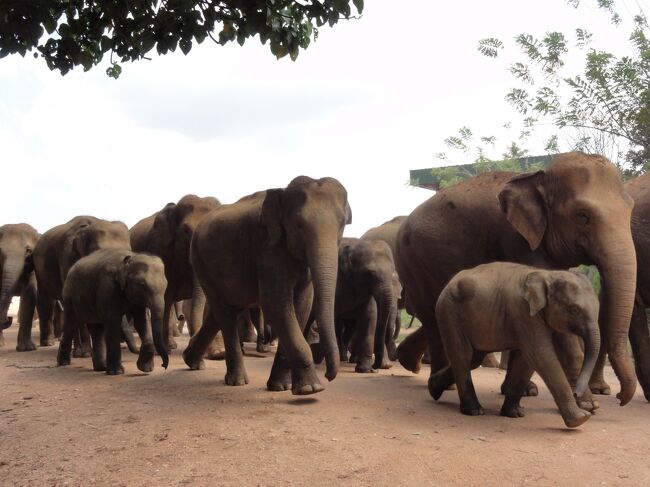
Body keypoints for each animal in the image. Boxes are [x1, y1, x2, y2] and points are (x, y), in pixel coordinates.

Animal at [32, 216, 132, 350]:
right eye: (101, 254)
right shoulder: (67, 256)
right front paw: (84, 352)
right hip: (39, 270)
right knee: (45, 300)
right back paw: (49, 343)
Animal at [185, 176, 352, 396]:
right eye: (299, 225)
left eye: (342, 225)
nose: (329, 375)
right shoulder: (266, 247)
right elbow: (276, 305)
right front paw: (311, 389)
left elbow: (301, 306)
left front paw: (282, 387)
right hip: (200, 261)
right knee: (225, 314)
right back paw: (237, 381)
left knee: (223, 310)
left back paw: (190, 360)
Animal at [394, 152, 632, 408]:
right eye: (583, 216)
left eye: (630, 211)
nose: (619, 398)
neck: (540, 177)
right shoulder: (516, 239)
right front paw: (589, 405)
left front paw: (525, 391)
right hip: (413, 262)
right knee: (432, 319)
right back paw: (444, 385)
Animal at [428, 264, 600, 428]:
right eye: (574, 310)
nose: (576, 394)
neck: (548, 274)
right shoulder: (523, 311)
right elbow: (539, 355)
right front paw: (580, 418)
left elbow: (527, 359)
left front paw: (515, 414)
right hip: (448, 310)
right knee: (463, 355)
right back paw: (473, 410)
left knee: (474, 358)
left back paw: (433, 388)